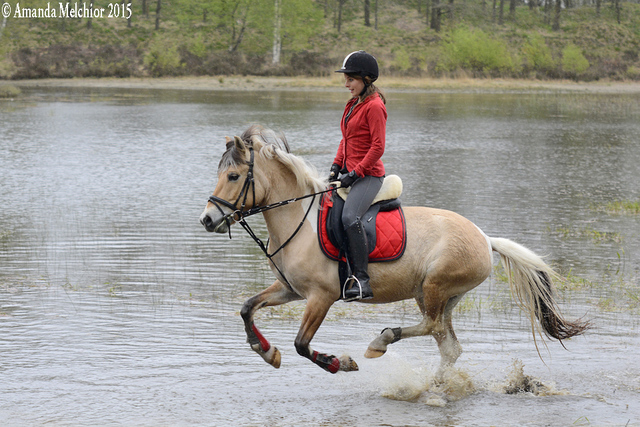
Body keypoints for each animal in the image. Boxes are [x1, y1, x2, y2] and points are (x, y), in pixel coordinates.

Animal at [200, 124, 592, 378]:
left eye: (233, 176)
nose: (207, 219)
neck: (300, 219)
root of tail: (484, 237)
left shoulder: (321, 297)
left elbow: (300, 343)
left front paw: (339, 363)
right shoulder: (290, 290)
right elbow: (247, 308)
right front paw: (266, 351)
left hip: (435, 287)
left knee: (431, 327)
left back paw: (381, 341)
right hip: (441, 295)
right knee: (448, 345)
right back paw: (435, 387)